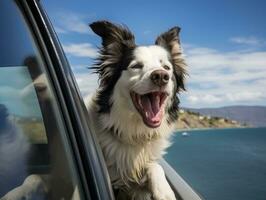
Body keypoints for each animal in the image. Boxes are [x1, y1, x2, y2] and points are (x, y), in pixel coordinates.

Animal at [85, 20, 185, 200]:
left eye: (166, 67)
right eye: (137, 66)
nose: (161, 76)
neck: (135, 134)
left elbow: (155, 166)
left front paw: (163, 190)